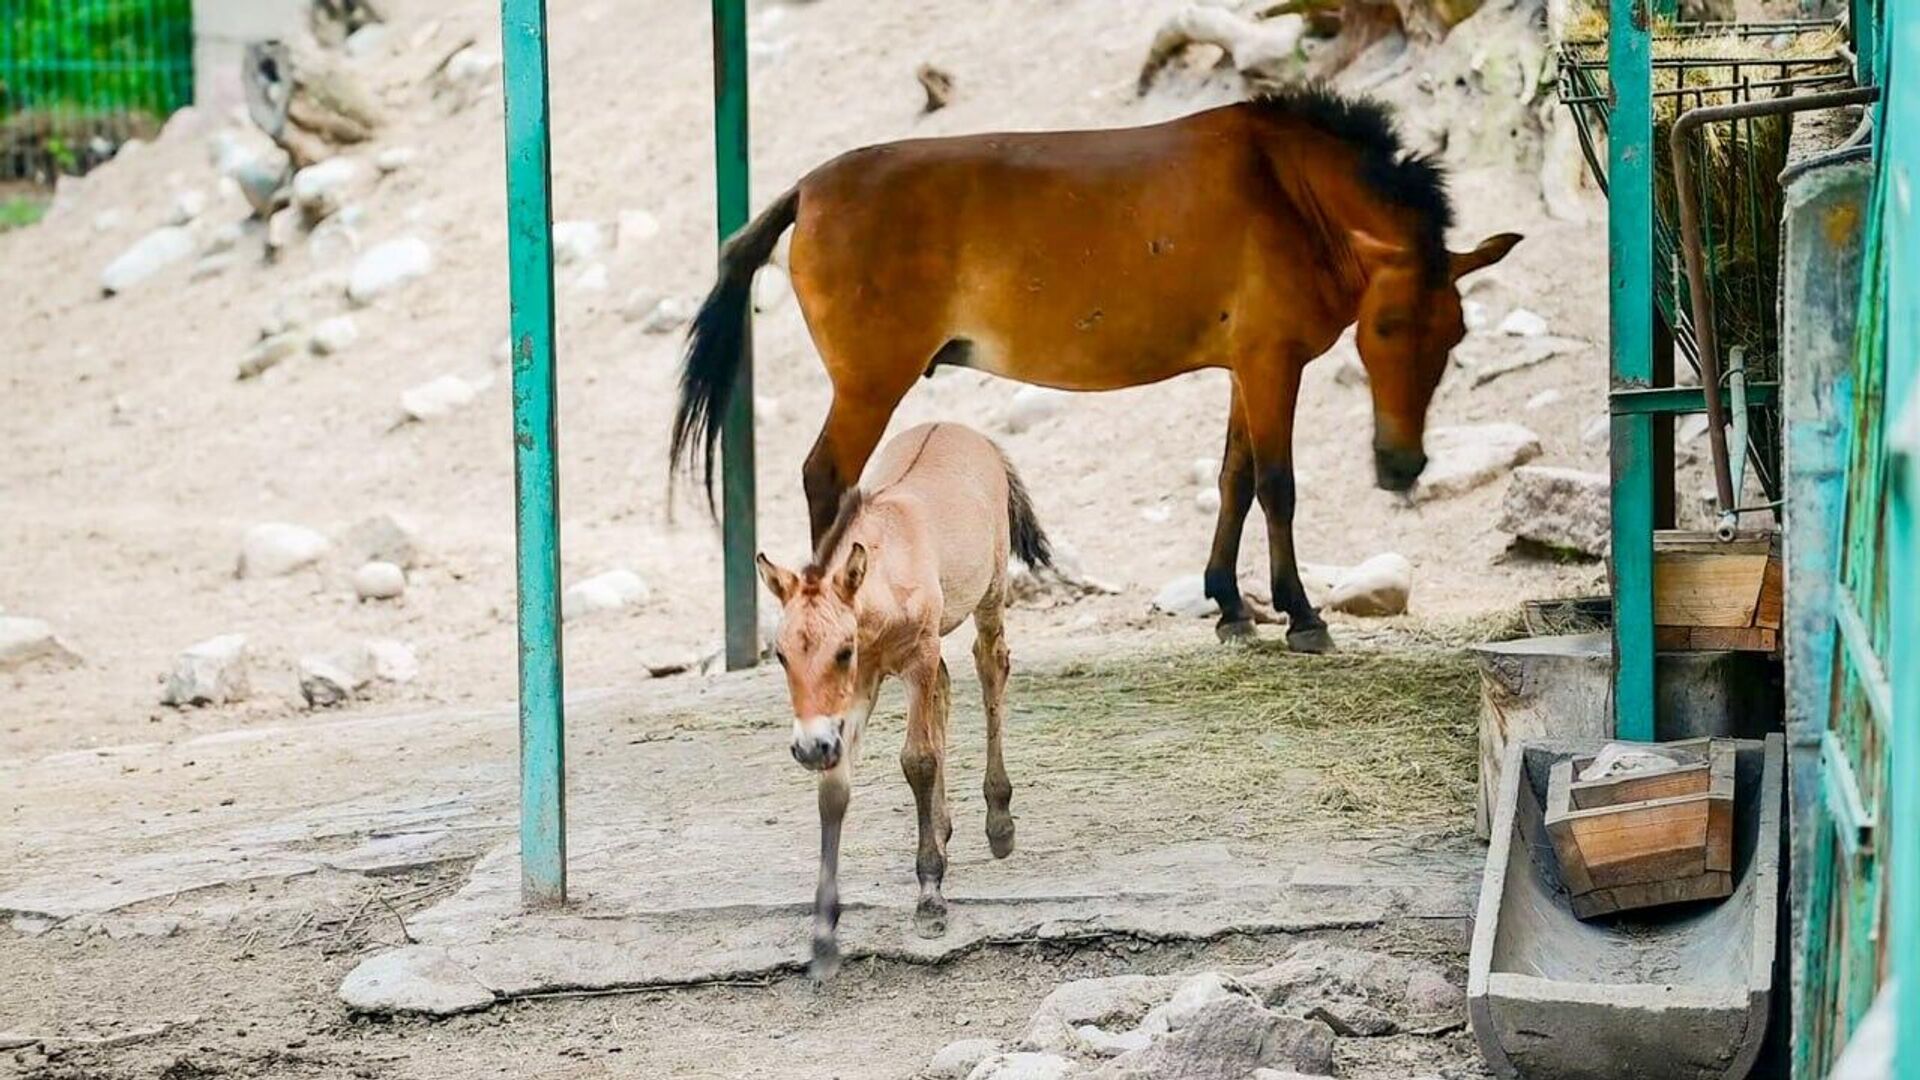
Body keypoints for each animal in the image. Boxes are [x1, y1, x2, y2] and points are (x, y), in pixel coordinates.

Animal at [673, 86, 1520, 653]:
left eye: (1455, 334)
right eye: (1386, 326)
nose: (1403, 466)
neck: (1287, 187)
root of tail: (808, 189)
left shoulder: (1245, 370)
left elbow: (1235, 480)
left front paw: (1230, 605)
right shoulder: (1273, 365)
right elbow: (1277, 486)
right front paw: (1301, 614)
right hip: (870, 385)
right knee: (827, 477)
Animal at [754, 422, 1051, 979]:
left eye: (842, 651)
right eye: (780, 655)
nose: (807, 747)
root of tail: (970, 433)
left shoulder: (912, 659)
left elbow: (918, 759)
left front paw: (930, 897)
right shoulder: (860, 690)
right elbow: (836, 788)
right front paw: (823, 935)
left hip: (989, 595)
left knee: (990, 668)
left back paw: (999, 822)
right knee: (947, 690)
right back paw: (945, 827)